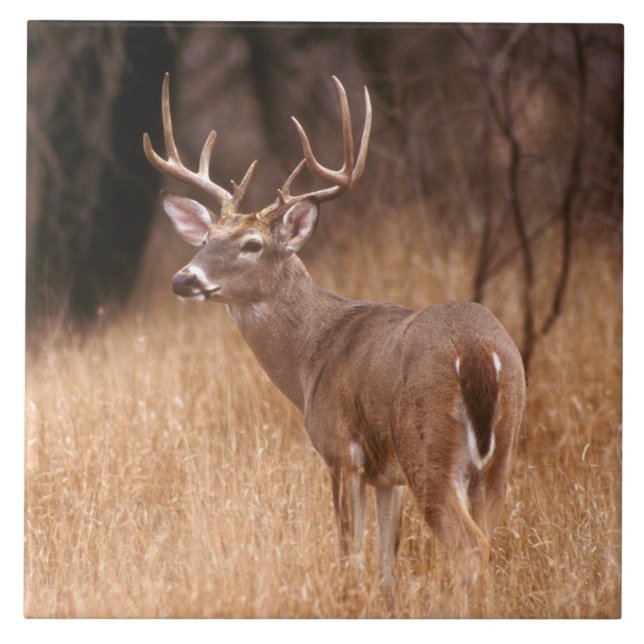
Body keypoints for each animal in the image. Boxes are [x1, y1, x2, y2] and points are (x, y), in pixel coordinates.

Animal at [143, 73, 526, 610]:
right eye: (204, 240)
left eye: (252, 244)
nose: (184, 279)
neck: (311, 358)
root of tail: (477, 351)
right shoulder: (387, 476)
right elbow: (386, 564)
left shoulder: (341, 451)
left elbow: (351, 557)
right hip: (501, 453)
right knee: (487, 542)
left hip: (429, 447)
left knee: (470, 550)